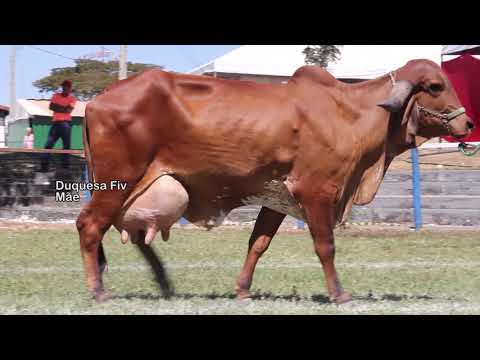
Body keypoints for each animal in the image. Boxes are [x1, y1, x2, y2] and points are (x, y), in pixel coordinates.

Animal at [78, 59, 472, 304]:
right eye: (434, 85)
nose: (467, 124)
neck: (351, 113)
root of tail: (98, 100)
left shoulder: (276, 198)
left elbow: (258, 244)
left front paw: (242, 290)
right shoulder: (317, 191)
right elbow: (325, 246)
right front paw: (340, 294)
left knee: (131, 234)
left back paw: (163, 282)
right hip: (118, 182)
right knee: (90, 226)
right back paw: (99, 291)